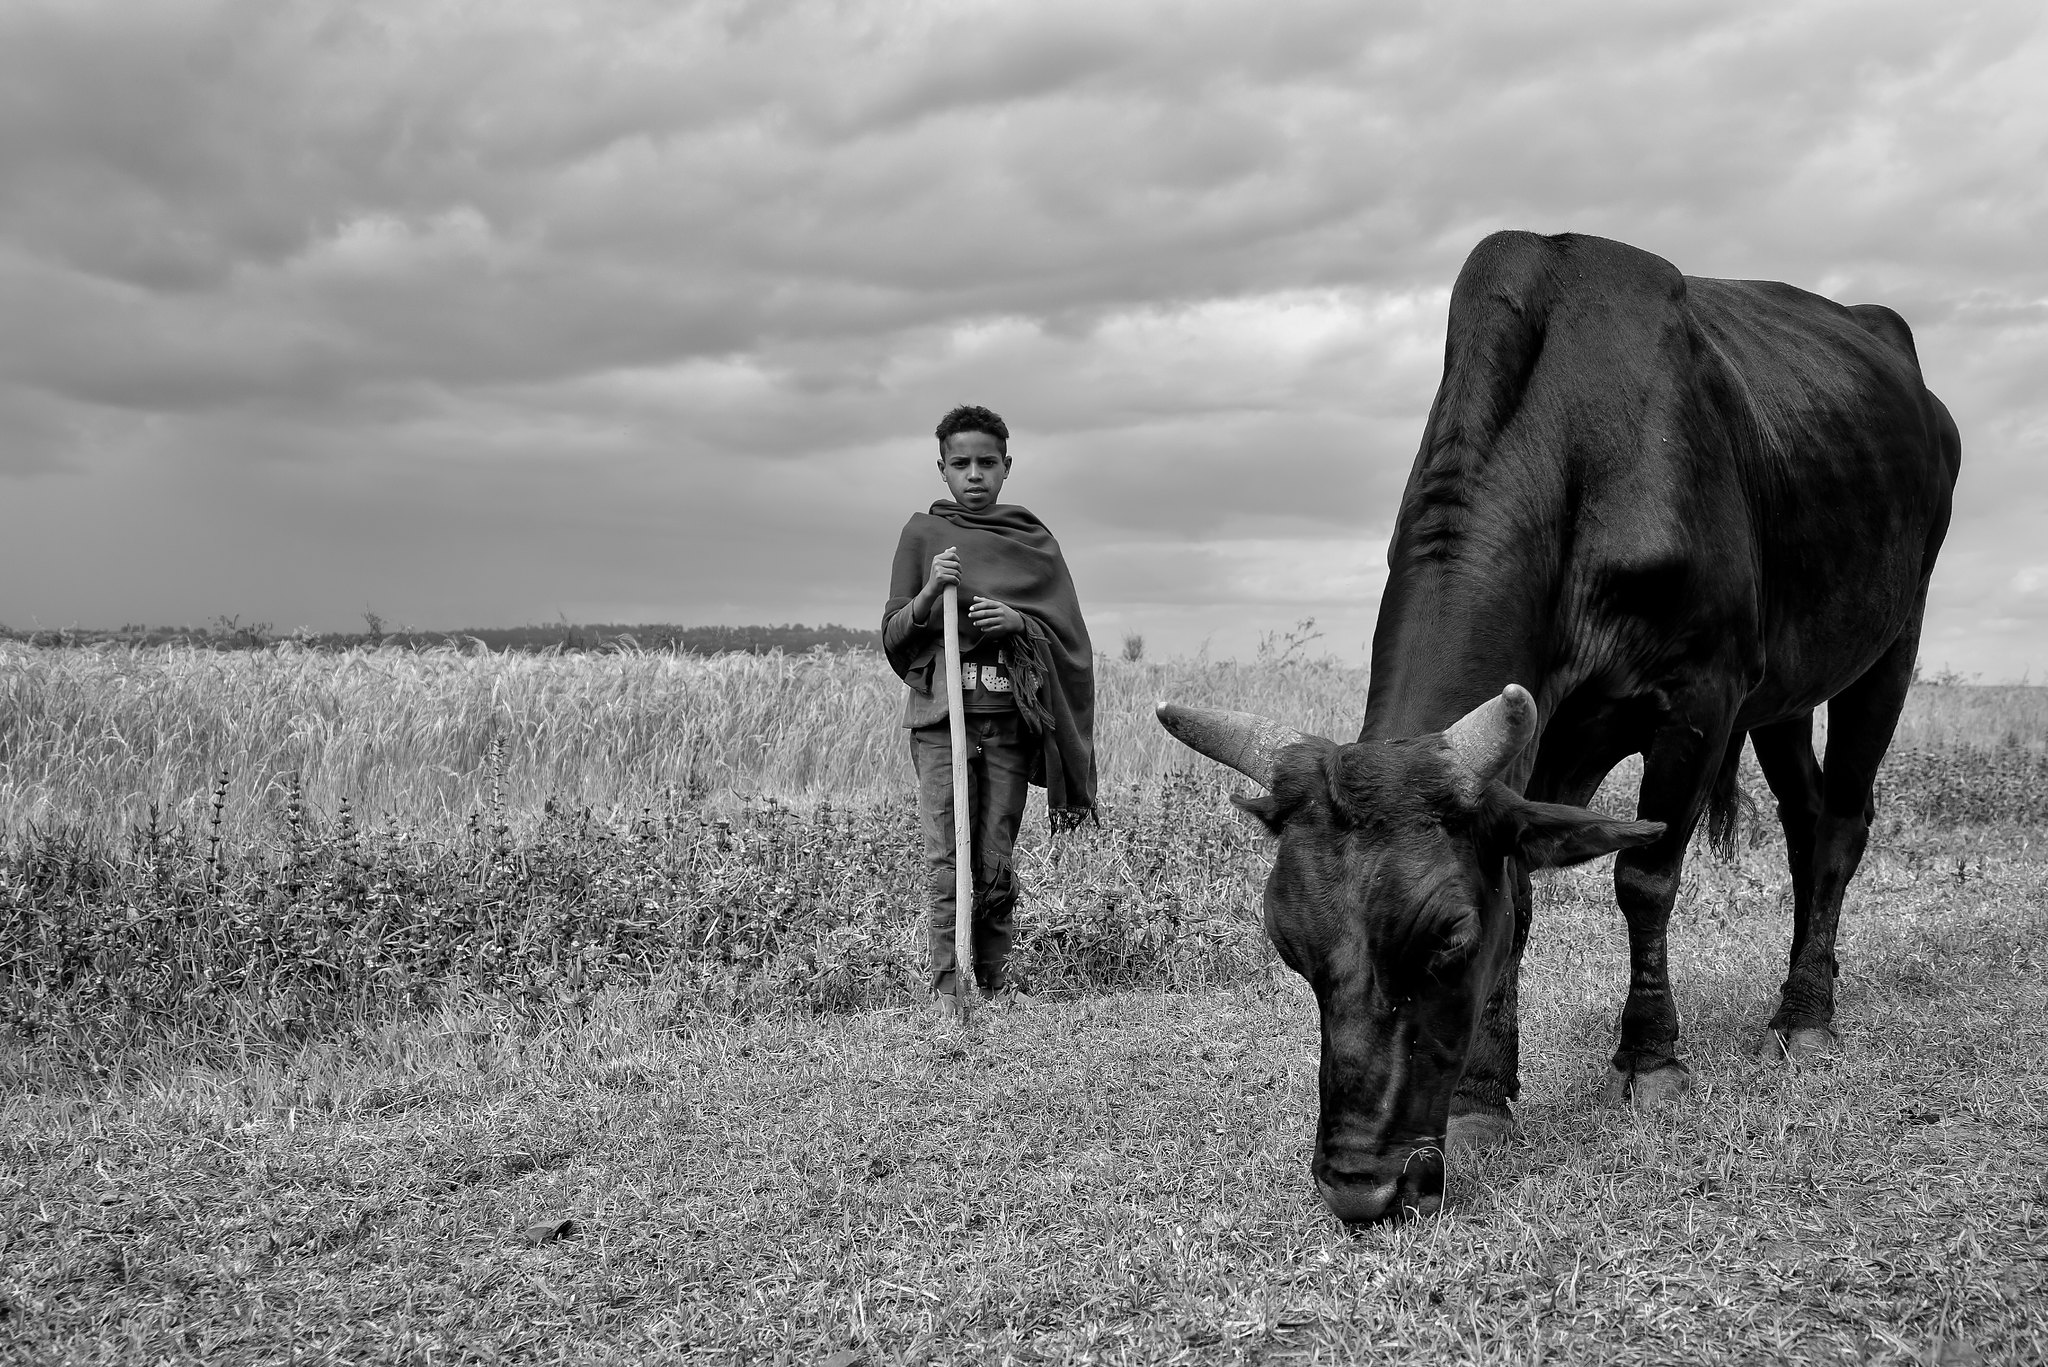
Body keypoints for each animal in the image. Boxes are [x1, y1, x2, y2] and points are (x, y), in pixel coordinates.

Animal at [1163, 229, 1957, 1221]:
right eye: (1289, 946)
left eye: (1449, 938)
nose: (1361, 1186)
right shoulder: (1540, 750)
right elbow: (1525, 894)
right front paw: (1483, 1095)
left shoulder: (1700, 702)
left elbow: (1645, 879)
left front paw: (1651, 1060)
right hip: (1786, 691)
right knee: (1808, 823)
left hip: (1890, 645)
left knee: (1845, 819)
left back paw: (1805, 1017)